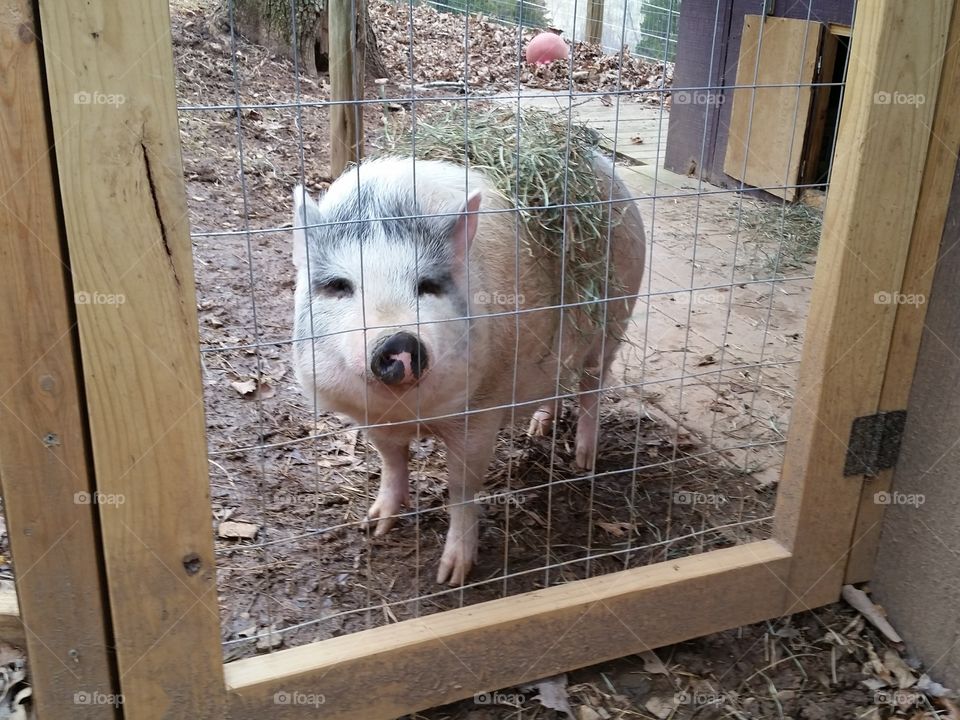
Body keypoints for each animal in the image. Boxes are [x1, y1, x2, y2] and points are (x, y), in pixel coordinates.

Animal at [291, 154, 645, 585]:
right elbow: (392, 462)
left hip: (615, 320)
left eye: (427, 286)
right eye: (340, 286)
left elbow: (462, 487)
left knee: (593, 386)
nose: (399, 342)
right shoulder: (371, 419)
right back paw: (538, 429)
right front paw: (375, 526)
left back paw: (584, 461)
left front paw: (450, 576)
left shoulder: (481, 410)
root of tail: (605, 163)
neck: (410, 412)